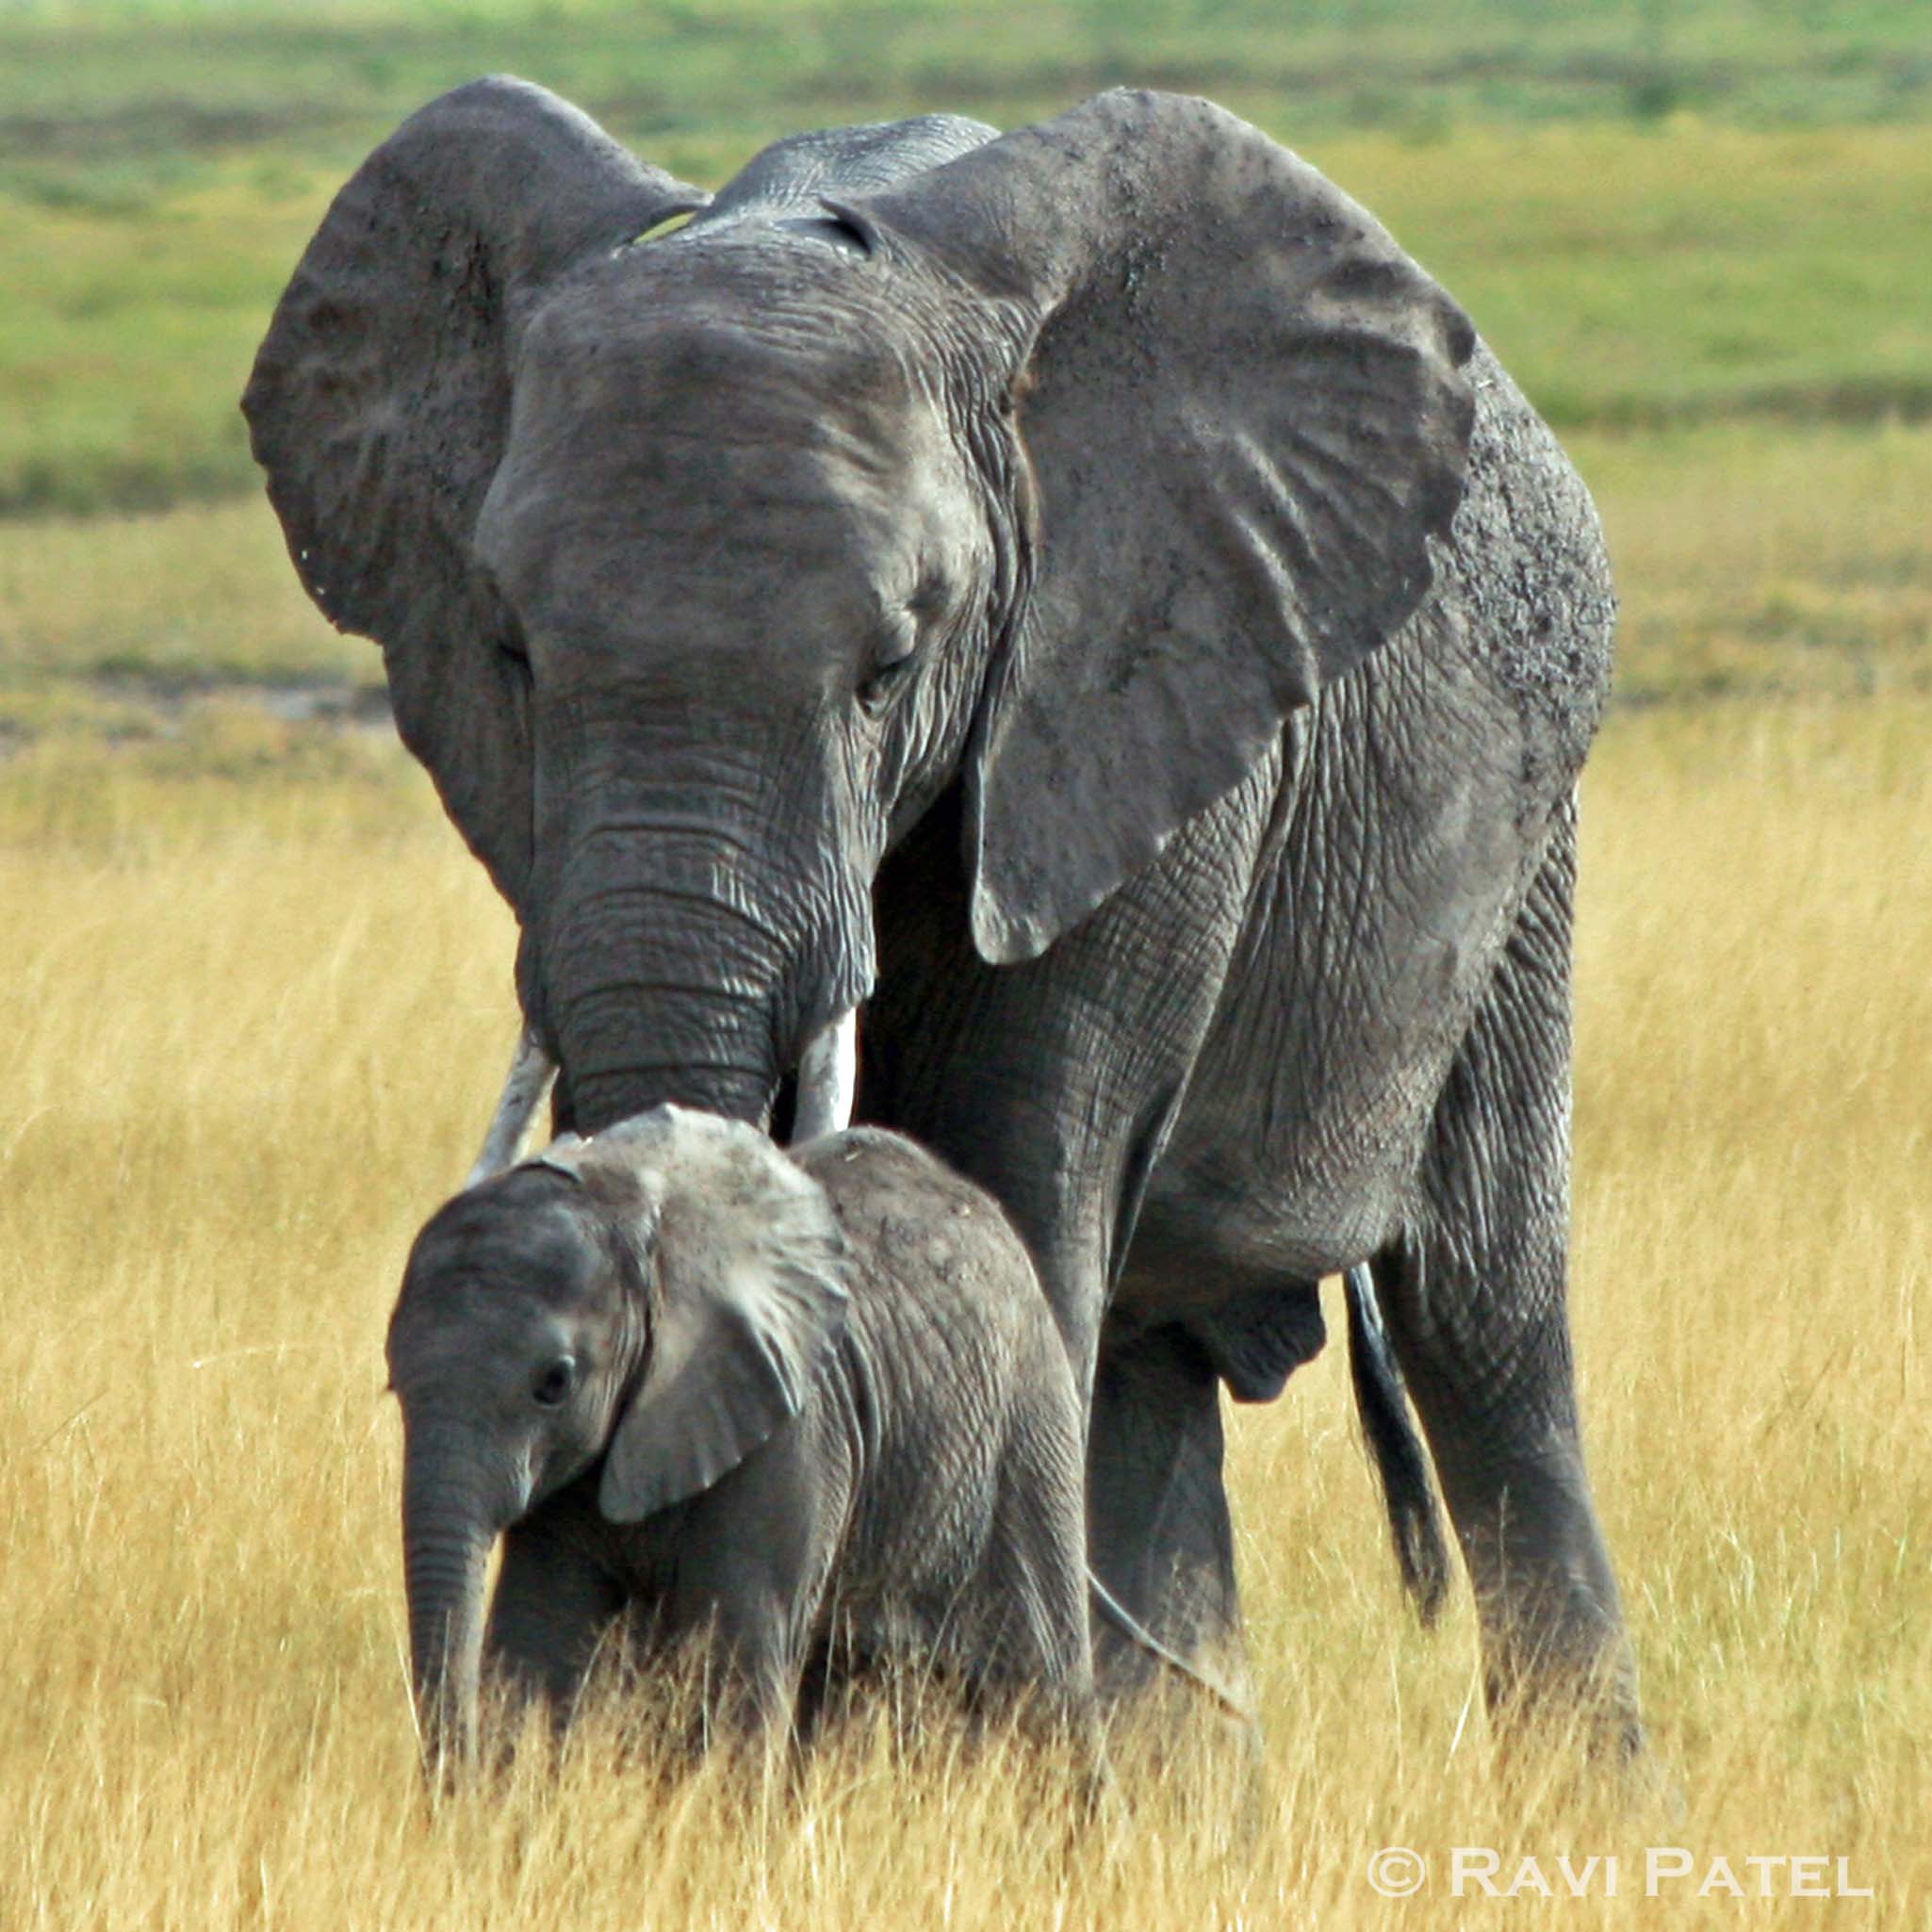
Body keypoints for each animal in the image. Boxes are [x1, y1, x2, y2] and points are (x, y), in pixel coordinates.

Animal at [389, 1104, 1108, 1768]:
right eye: (394, 1382)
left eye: (554, 1382)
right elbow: (539, 1635)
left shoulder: (793, 1427)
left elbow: (742, 1653)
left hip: (1027, 1429)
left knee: (1049, 1688)